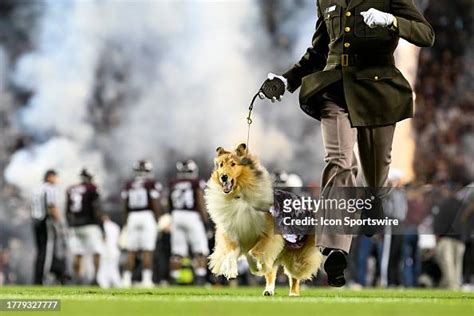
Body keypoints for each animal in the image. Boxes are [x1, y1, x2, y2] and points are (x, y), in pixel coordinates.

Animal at [204, 143, 322, 296]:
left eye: (233, 164)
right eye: (220, 164)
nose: (224, 177)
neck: (239, 196)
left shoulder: (269, 236)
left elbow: (253, 253)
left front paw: (256, 267)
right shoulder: (232, 231)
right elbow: (231, 252)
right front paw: (231, 271)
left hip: (297, 255)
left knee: (294, 275)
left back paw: (293, 293)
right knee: (272, 271)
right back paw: (269, 290)